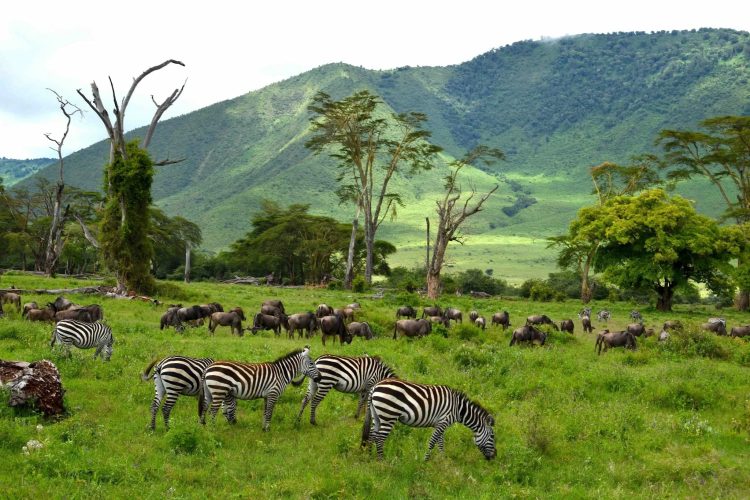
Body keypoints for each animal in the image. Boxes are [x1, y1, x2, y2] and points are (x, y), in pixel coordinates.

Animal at [362, 378, 496, 460]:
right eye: (492, 437)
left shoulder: (440, 424)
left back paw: (369, 457)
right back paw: (382, 461)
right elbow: (432, 442)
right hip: (389, 415)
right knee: (379, 439)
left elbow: (440, 443)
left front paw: (443, 461)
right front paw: (425, 461)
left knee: (372, 435)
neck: (458, 409)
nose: (494, 456)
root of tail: (375, 387)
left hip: (377, 415)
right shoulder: (443, 422)